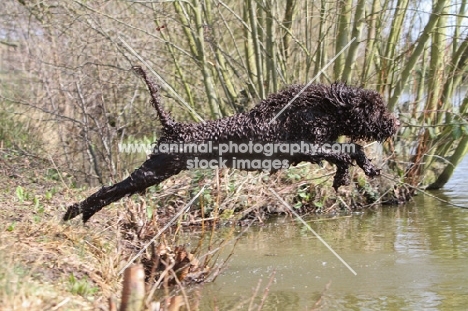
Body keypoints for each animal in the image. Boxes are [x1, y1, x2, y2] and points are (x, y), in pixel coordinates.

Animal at [63, 67, 398, 223]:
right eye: (374, 109)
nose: (395, 124)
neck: (319, 108)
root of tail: (173, 126)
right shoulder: (307, 147)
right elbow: (346, 151)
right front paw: (344, 176)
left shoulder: (314, 147)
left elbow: (352, 149)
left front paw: (366, 169)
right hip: (154, 170)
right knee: (110, 190)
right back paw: (78, 210)